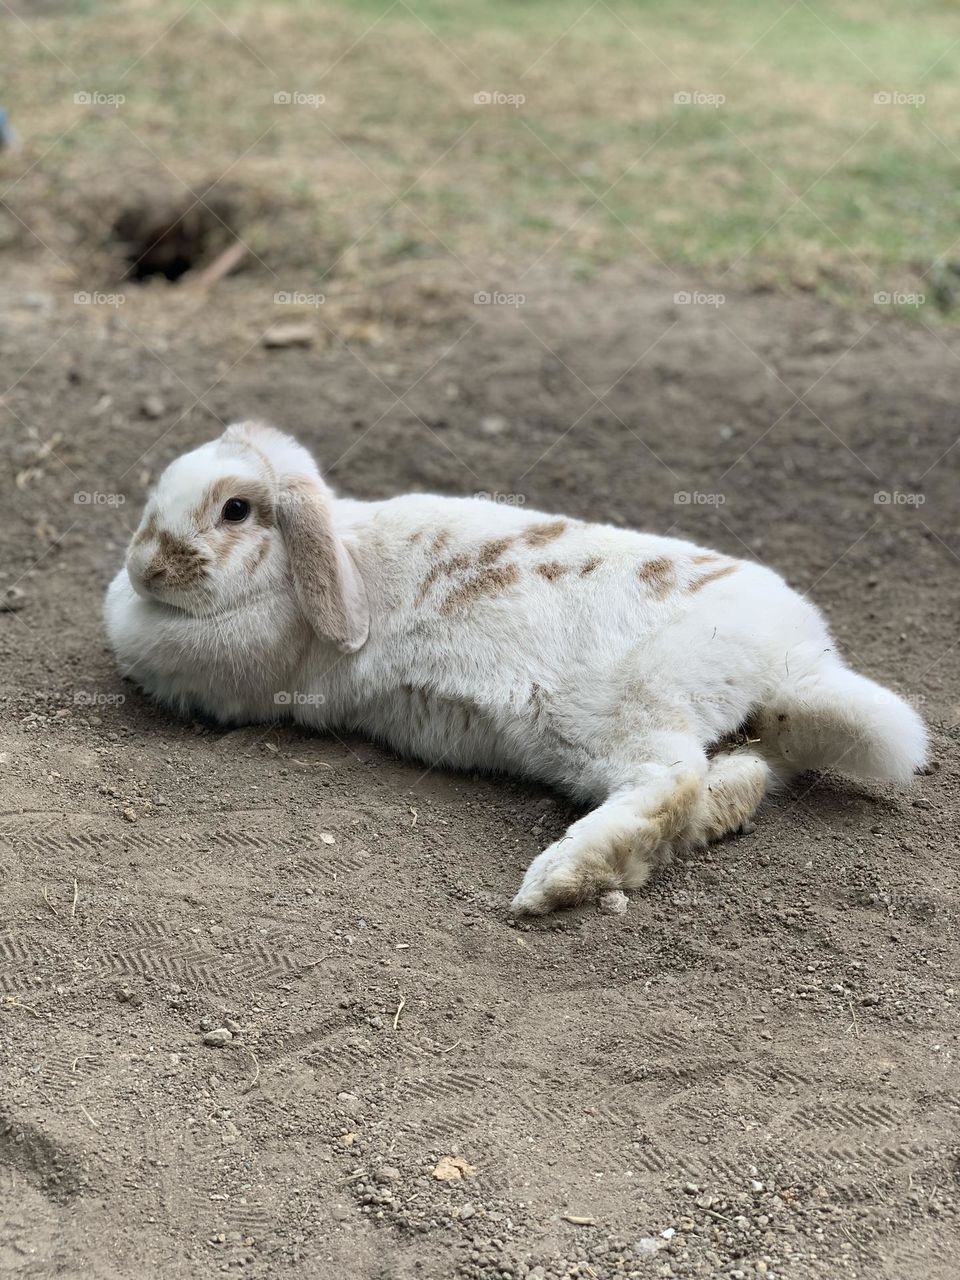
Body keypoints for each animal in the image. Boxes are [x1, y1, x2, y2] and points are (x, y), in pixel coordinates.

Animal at [106, 424, 931, 916]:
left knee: (673, 787)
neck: (319, 563)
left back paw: (555, 881)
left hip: (633, 710)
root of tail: (793, 664)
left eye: (236, 510)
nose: (144, 568)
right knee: (728, 785)